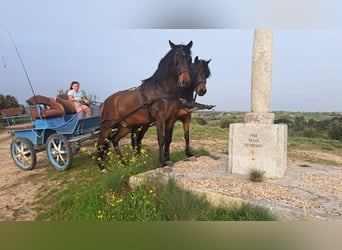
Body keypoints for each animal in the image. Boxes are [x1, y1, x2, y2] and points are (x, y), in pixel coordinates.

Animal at [96, 40, 192, 172]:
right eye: (177, 58)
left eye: (189, 58)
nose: (186, 81)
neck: (162, 90)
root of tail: (104, 103)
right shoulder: (160, 119)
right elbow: (161, 139)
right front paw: (162, 162)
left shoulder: (171, 118)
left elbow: (168, 138)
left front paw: (168, 158)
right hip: (107, 126)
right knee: (101, 142)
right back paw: (102, 167)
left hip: (125, 127)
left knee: (114, 140)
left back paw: (123, 162)